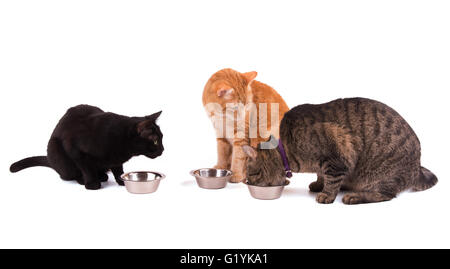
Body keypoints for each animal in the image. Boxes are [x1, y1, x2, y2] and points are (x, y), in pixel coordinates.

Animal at [9, 103, 164, 189]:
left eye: (162, 139)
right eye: (156, 141)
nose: (163, 150)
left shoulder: (116, 159)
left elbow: (118, 169)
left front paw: (121, 180)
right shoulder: (76, 150)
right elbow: (87, 168)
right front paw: (91, 183)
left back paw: (102, 175)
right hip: (57, 152)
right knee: (70, 174)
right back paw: (86, 179)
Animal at [244, 97, 438, 204]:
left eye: (251, 174)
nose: (247, 181)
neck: (286, 149)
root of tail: (417, 167)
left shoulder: (338, 150)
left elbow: (331, 178)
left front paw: (327, 194)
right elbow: (321, 175)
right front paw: (319, 184)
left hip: (384, 174)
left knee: (385, 194)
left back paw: (355, 196)